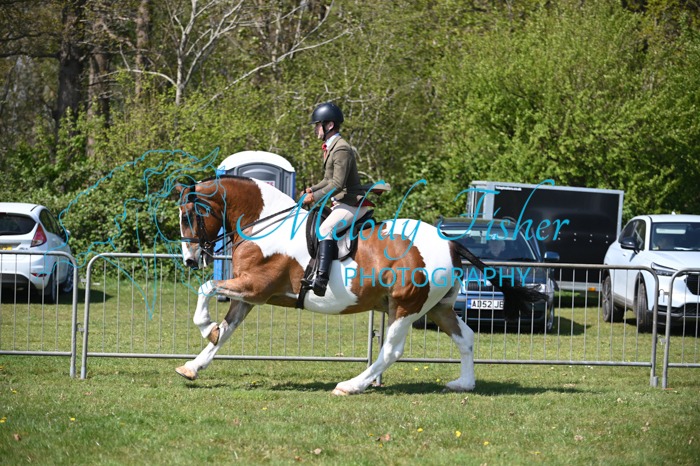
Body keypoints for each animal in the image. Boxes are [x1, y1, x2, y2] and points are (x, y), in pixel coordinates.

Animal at [174, 175, 543, 395]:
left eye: (188, 216)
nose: (191, 260)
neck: (263, 225)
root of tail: (450, 244)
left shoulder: (255, 287)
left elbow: (207, 289)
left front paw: (204, 326)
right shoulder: (248, 296)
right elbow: (226, 331)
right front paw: (193, 366)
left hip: (405, 307)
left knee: (391, 351)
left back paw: (351, 385)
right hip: (438, 307)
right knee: (465, 337)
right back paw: (463, 384)